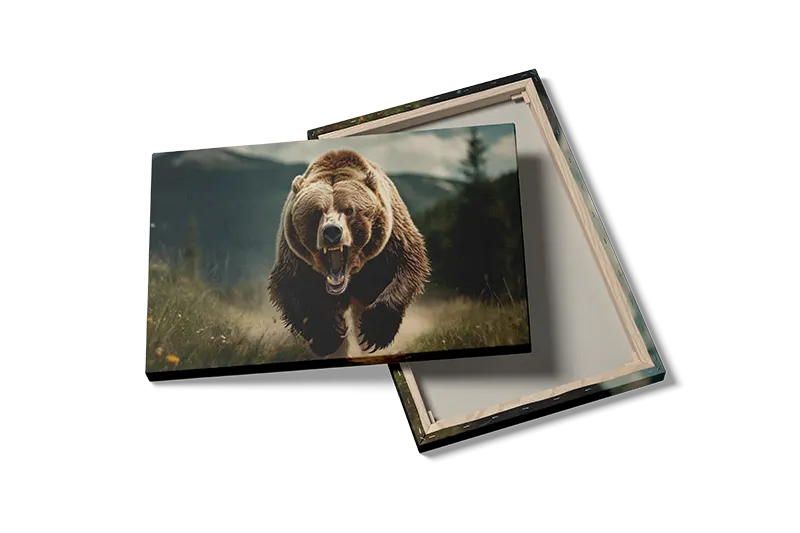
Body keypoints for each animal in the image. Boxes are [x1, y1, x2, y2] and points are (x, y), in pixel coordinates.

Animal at [267, 149, 431, 358]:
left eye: (348, 210)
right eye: (317, 212)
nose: (331, 231)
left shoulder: (392, 240)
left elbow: (408, 265)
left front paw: (375, 331)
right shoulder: (294, 255)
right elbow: (292, 287)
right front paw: (328, 334)